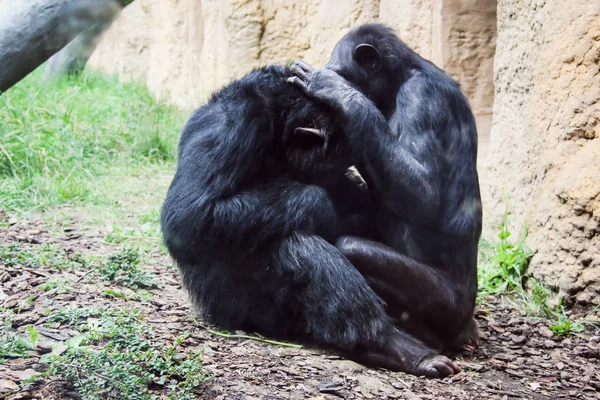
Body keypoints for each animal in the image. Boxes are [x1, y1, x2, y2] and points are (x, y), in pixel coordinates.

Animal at [159, 64, 460, 376]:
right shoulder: (232, 124)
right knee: (293, 243)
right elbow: (191, 214)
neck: (277, 124)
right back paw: (390, 345)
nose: (335, 177)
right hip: (233, 306)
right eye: (336, 163)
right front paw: (325, 208)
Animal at [290, 22, 482, 368]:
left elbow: (425, 195)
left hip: (446, 304)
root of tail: (466, 319)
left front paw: (337, 91)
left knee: (353, 248)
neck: (397, 83)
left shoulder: (421, 99)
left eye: (340, 72)